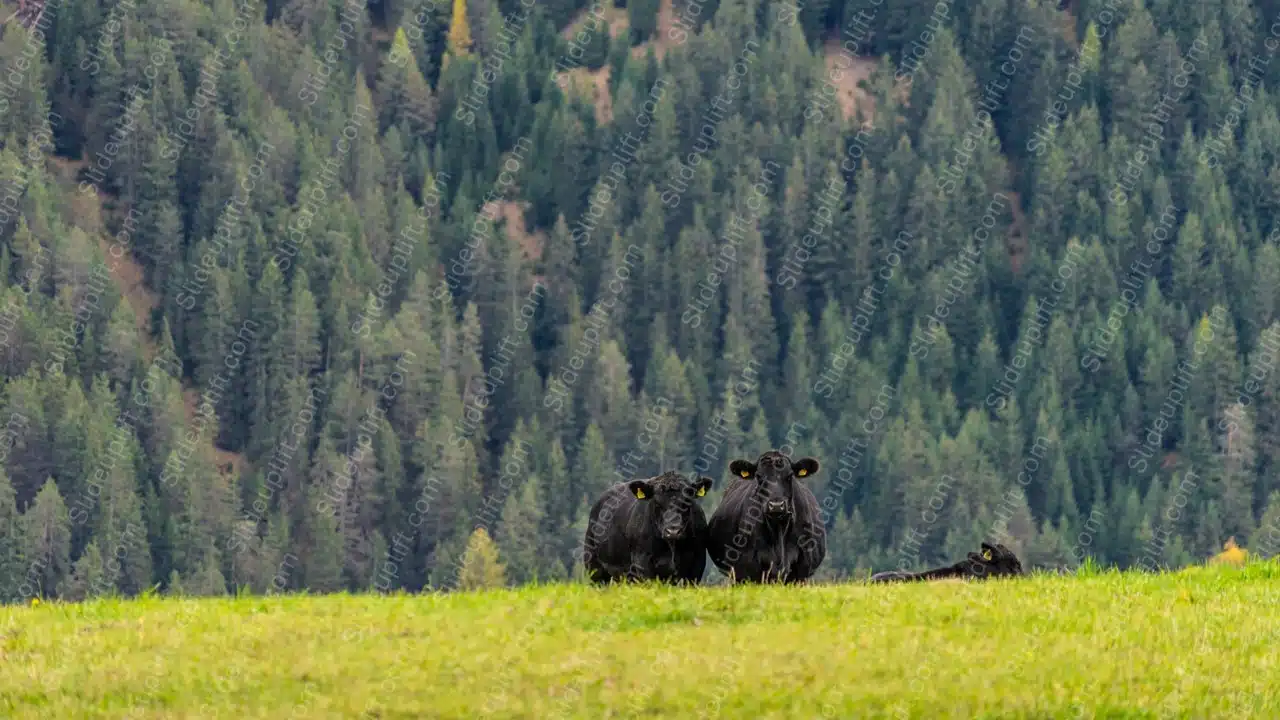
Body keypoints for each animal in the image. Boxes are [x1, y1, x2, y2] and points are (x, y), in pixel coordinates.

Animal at [583, 471, 716, 584]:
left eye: (687, 501)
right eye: (656, 502)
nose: (673, 530)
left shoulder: (697, 563)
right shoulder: (643, 562)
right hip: (594, 566)